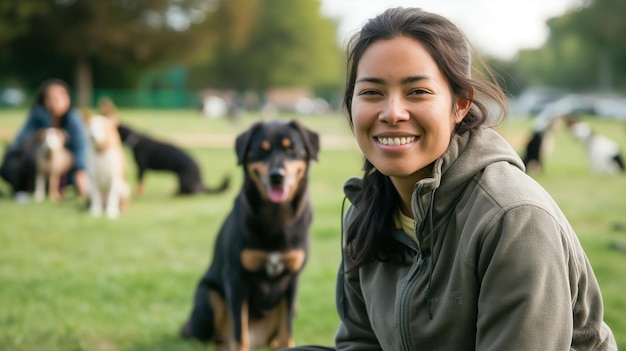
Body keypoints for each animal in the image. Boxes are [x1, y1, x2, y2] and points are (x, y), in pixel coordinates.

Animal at [179, 119, 316, 350]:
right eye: (262, 150)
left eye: (291, 149)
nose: (277, 176)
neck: (276, 216)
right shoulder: (236, 279)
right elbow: (239, 331)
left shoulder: (292, 280)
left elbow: (286, 328)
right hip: (208, 296)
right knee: (213, 339)